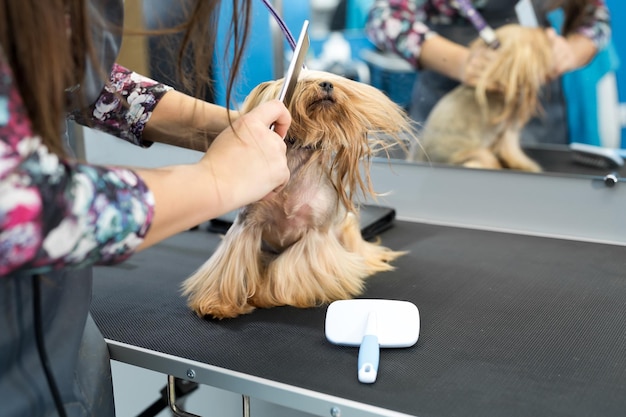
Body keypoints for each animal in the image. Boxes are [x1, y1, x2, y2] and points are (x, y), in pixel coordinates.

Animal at [180, 70, 414, 316]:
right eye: (303, 81)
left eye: (332, 79)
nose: (327, 84)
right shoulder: (247, 228)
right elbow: (232, 270)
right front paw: (219, 304)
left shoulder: (315, 234)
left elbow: (290, 271)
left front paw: (270, 295)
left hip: (347, 227)